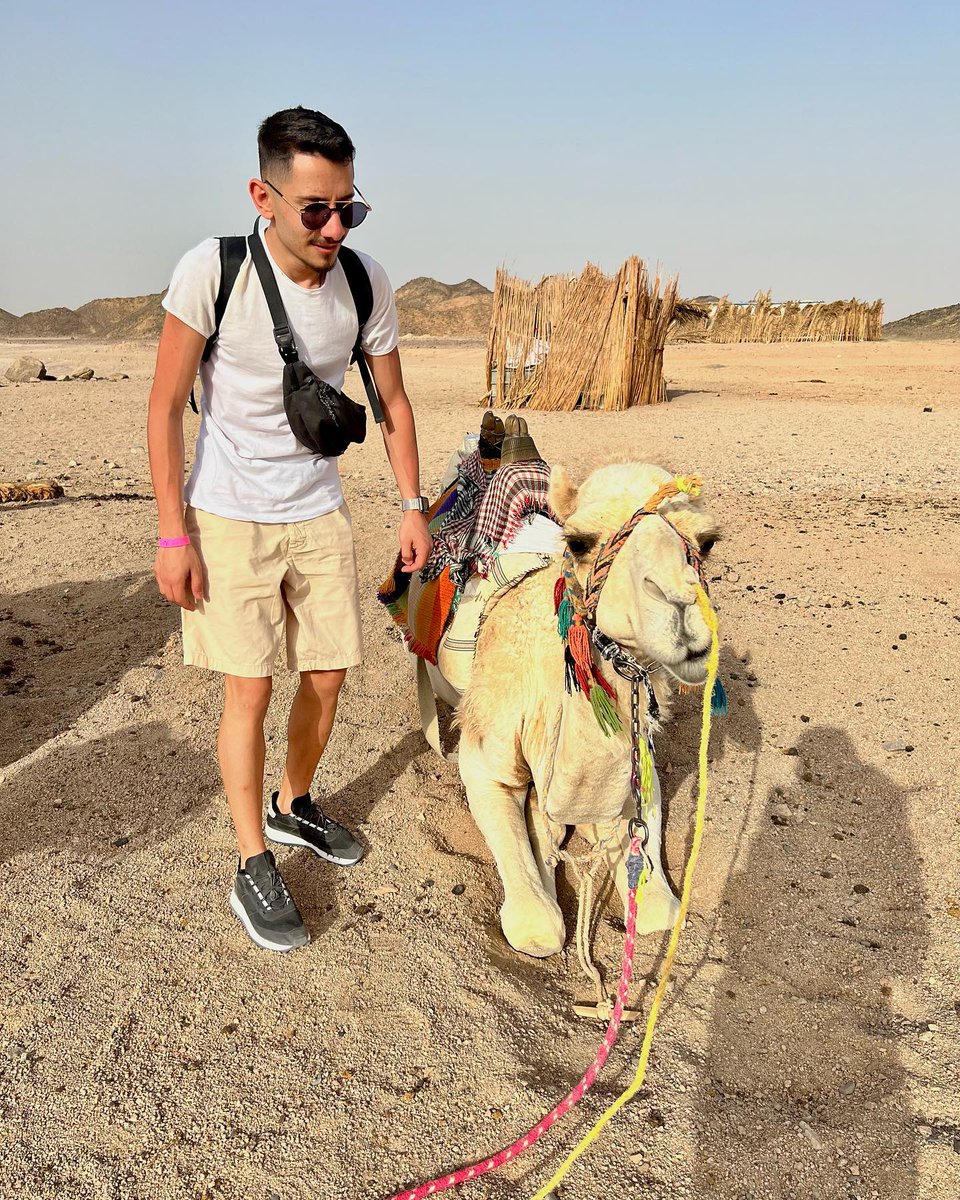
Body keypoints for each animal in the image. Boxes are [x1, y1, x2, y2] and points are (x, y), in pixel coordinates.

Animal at [423, 461, 718, 958]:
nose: (680, 602)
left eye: (708, 541)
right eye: (579, 541)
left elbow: (659, 910)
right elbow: (537, 926)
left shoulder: (633, 764)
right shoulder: (485, 758)